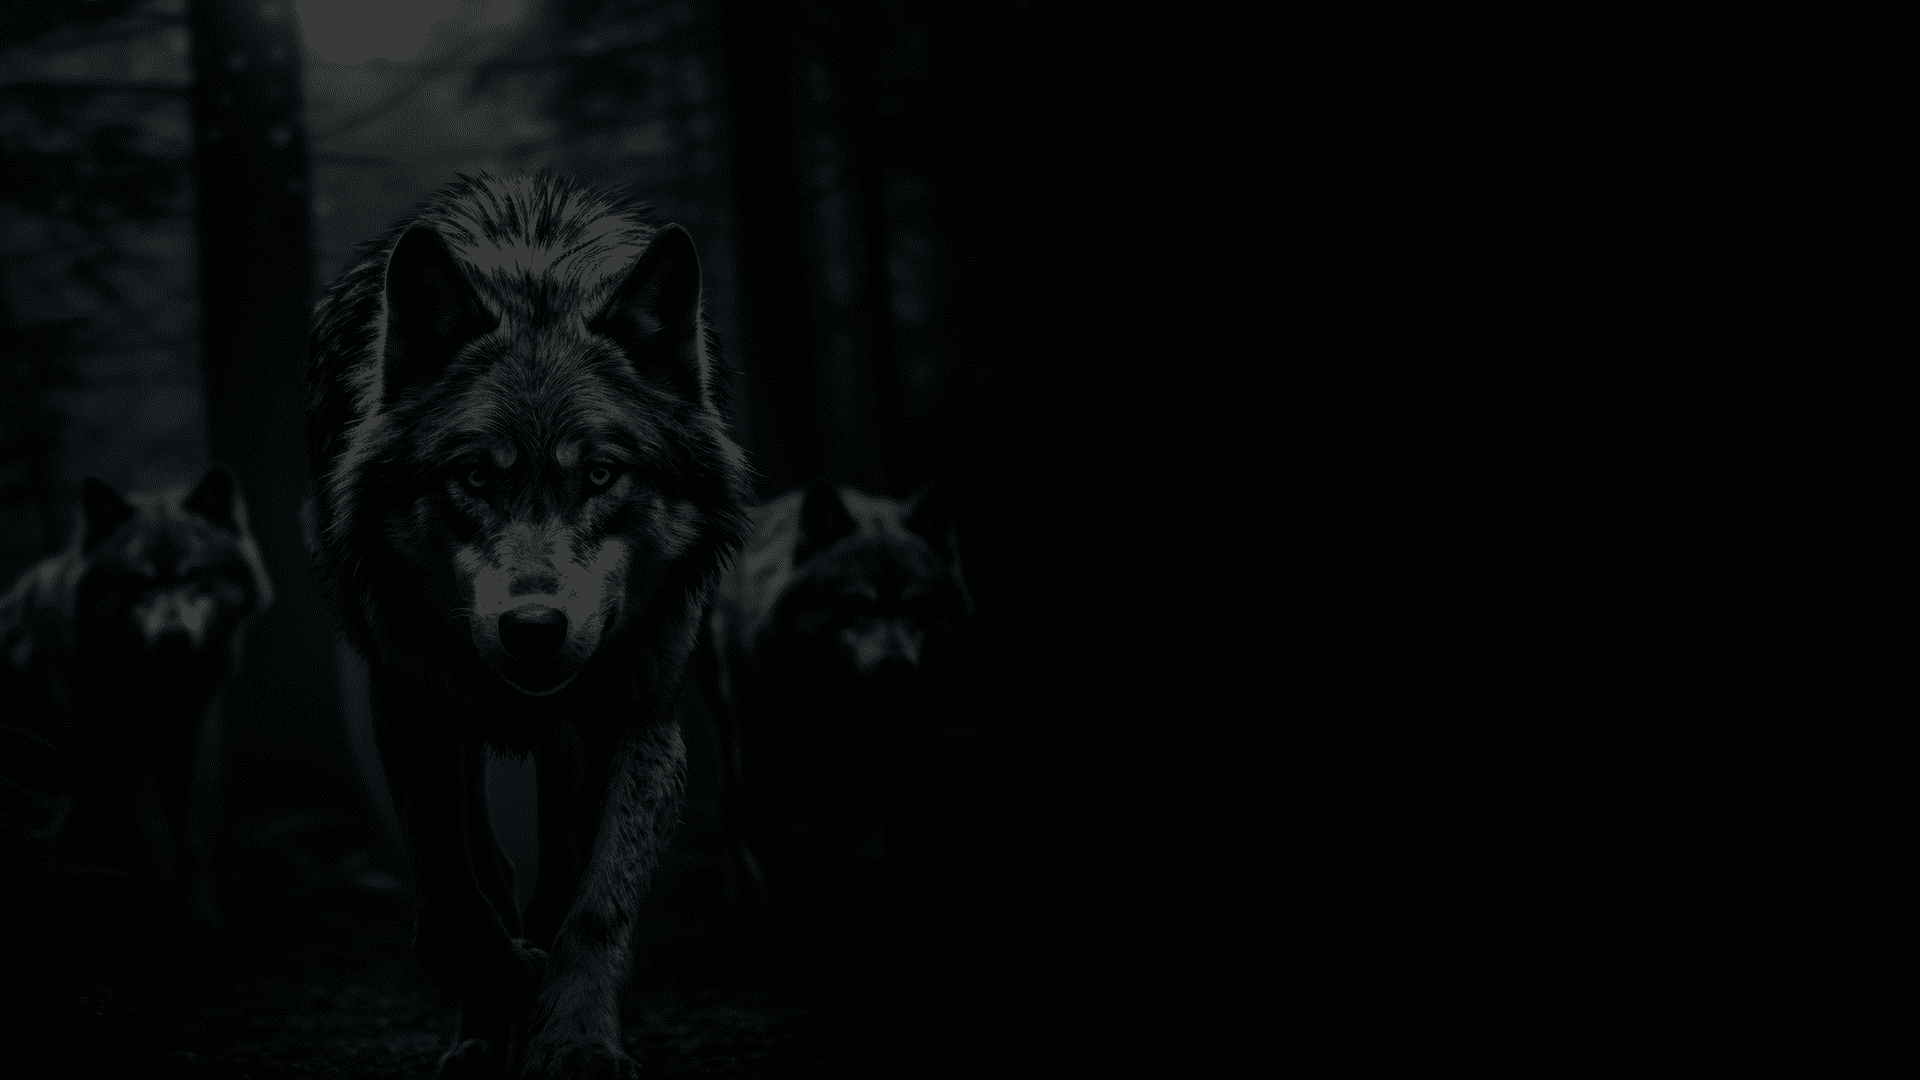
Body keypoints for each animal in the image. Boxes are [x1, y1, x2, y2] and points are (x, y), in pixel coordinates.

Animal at [0, 465, 273, 931]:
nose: (173, 636)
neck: (151, 691)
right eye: (138, 581)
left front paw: (200, 916)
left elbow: (188, 843)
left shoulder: (181, 751)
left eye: (194, 574)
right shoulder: (103, 766)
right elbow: (136, 854)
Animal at [304, 173, 751, 1079]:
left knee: (554, 875)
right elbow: (449, 909)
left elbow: (596, 903)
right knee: (496, 871)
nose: (535, 628)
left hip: (573, 739)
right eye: (475, 475)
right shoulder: (410, 707)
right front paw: (513, 981)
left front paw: (575, 1037)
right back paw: (483, 1034)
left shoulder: (639, 718)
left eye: (602, 474)